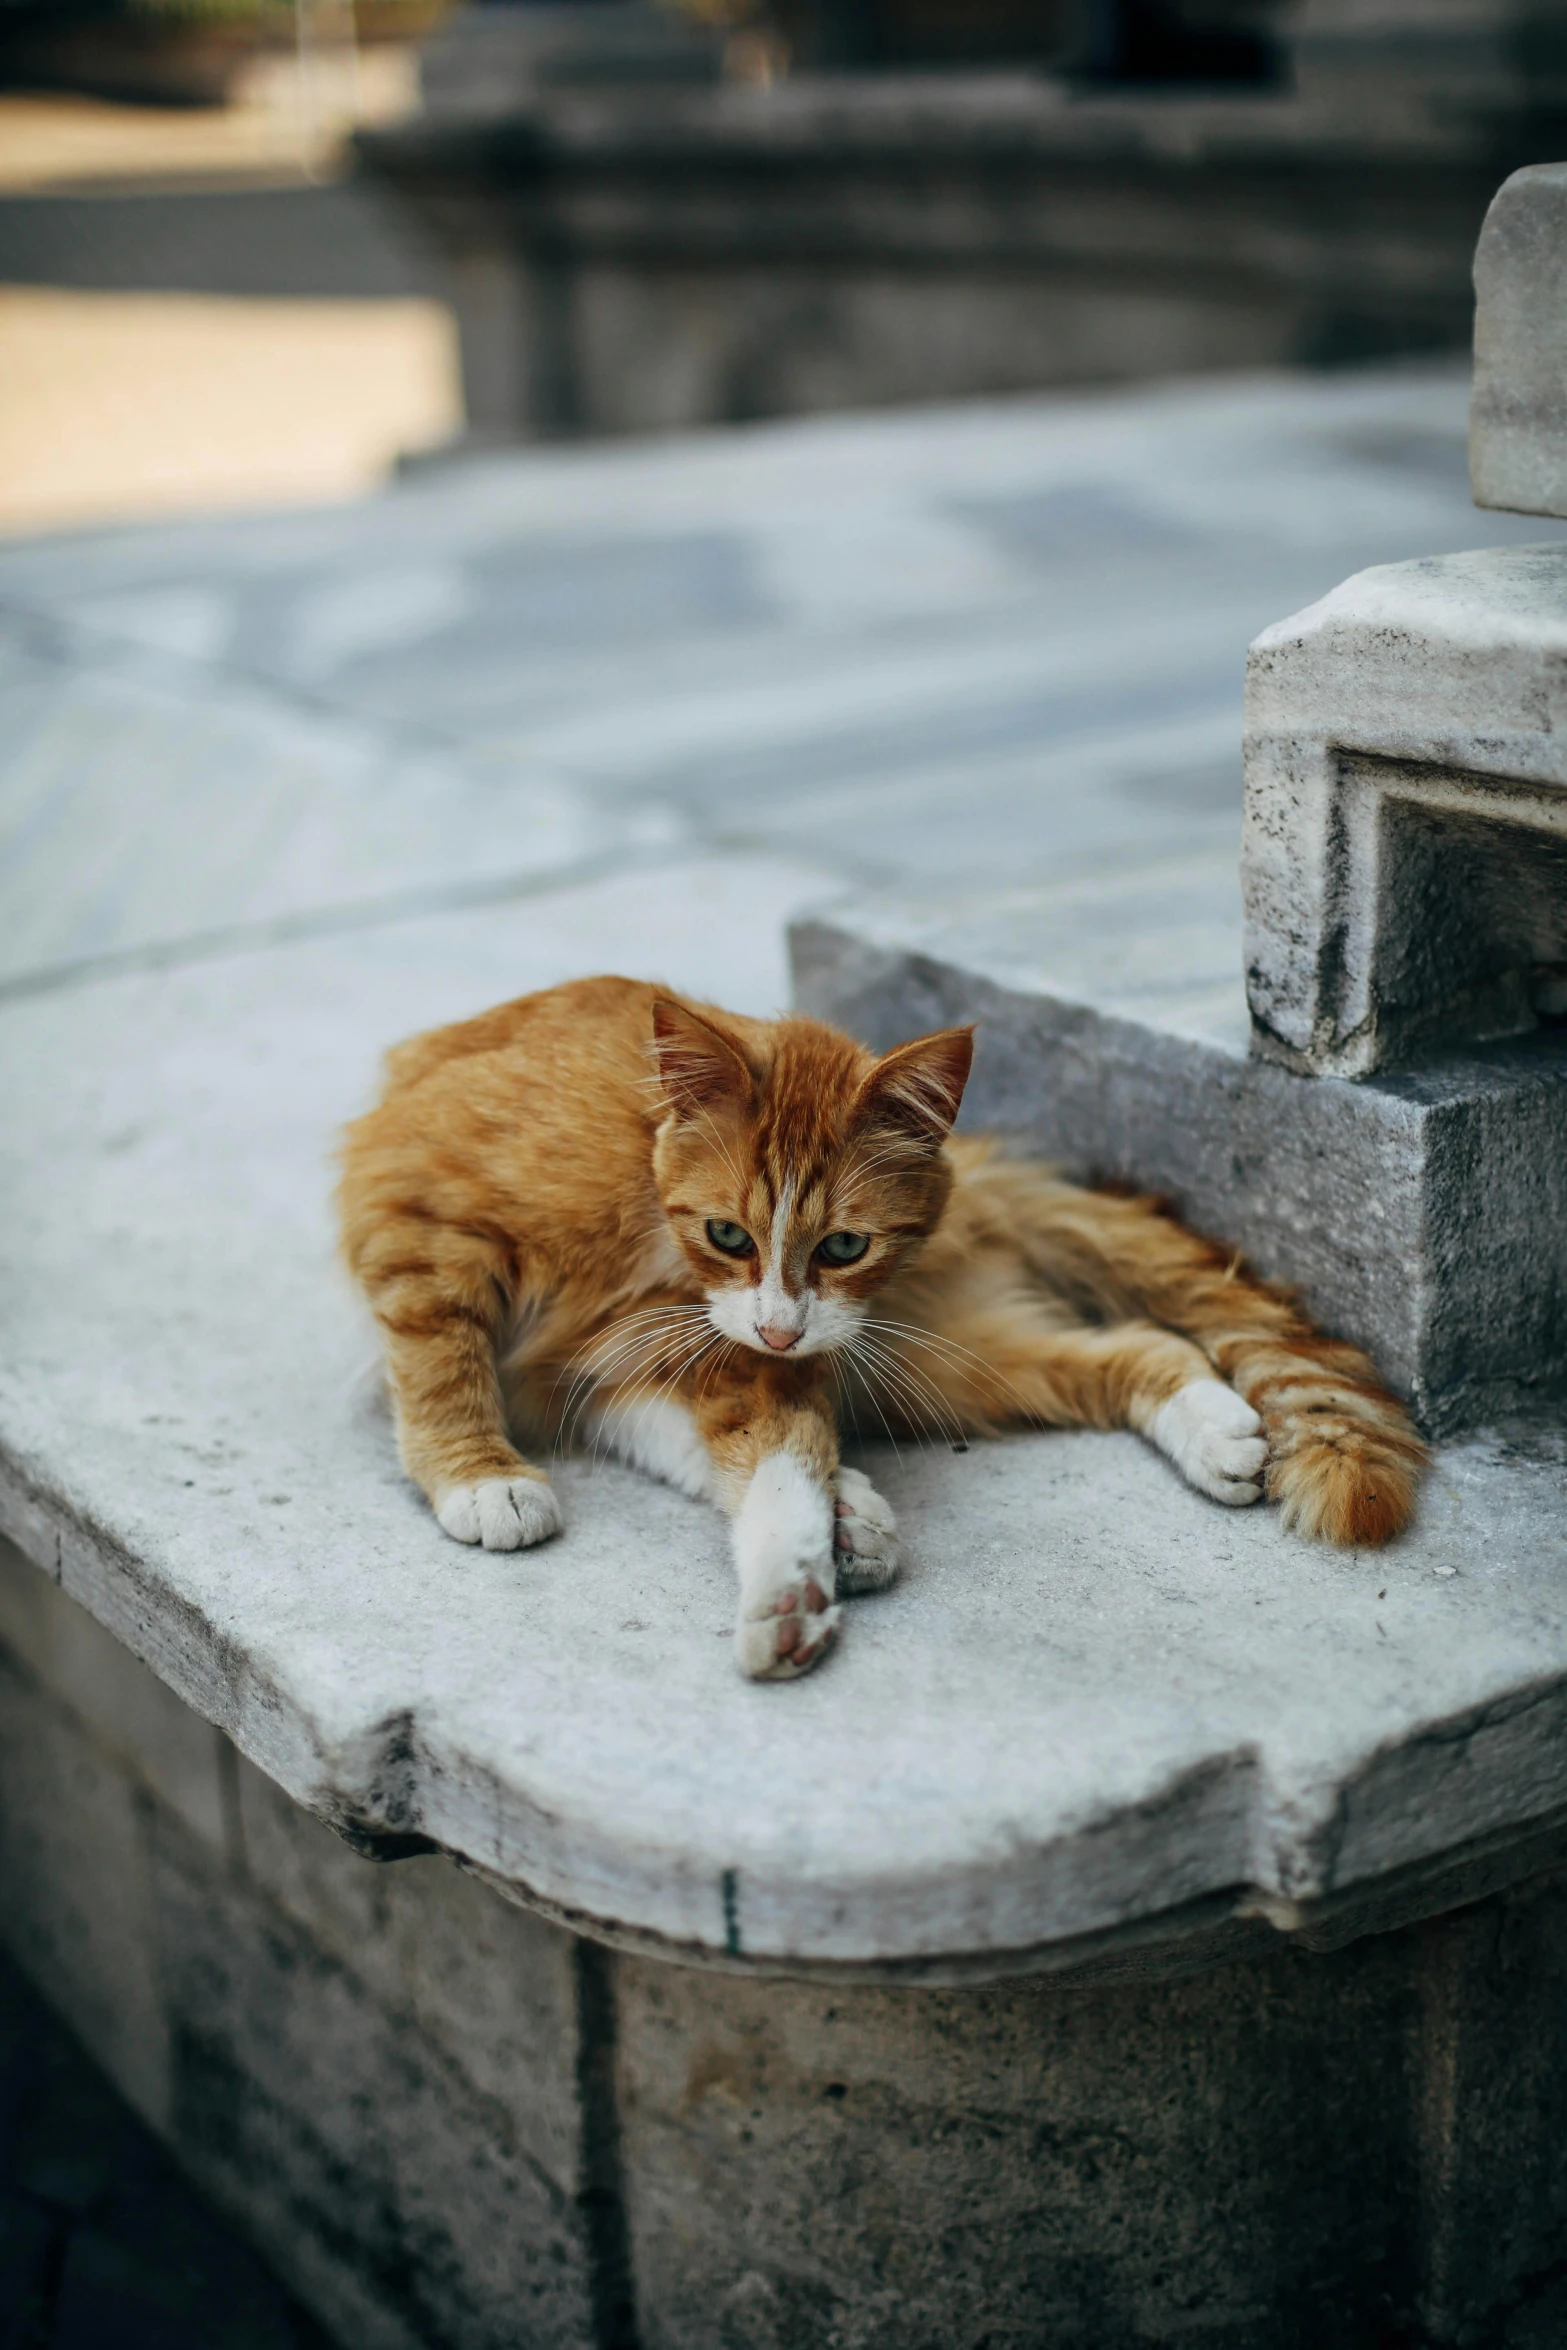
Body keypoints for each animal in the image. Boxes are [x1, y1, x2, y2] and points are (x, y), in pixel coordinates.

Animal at [338, 972, 1428, 1673]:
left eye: (844, 1247)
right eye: (728, 1231)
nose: (781, 1327)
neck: (643, 1203)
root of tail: (983, 1168)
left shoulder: (751, 1352)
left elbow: (777, 1457)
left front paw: (790, 1588)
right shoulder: (417, 1212)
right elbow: (438, 1354)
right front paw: (478, 1475)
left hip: (926, 1355)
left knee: (1135, 1344)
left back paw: (1206, 1428)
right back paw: (861, 1514)